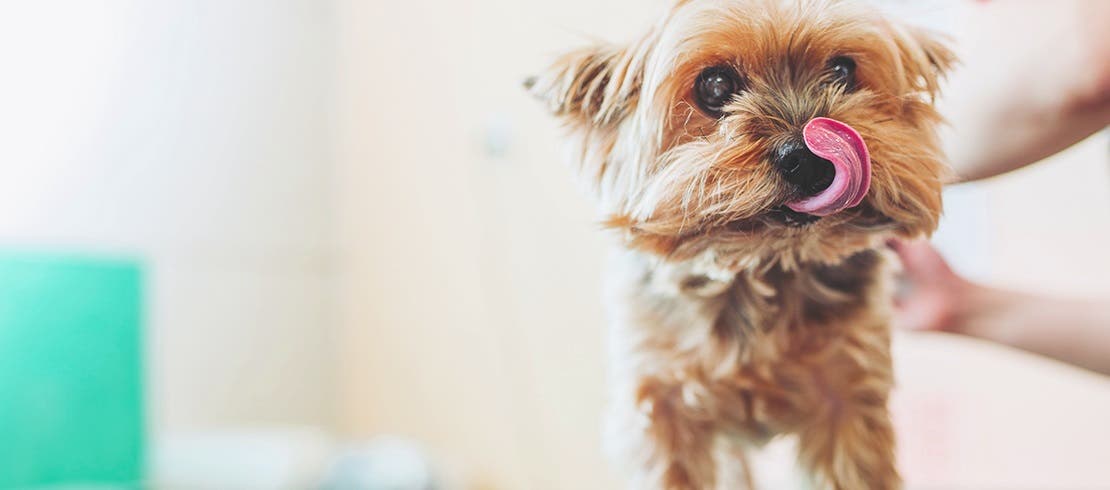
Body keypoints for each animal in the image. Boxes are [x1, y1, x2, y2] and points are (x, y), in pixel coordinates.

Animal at [528, 0, 954, 488]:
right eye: (715, 86)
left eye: (842, 71)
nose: (807, 157)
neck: (760, 266)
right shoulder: (660, 405)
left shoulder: (847, 397)